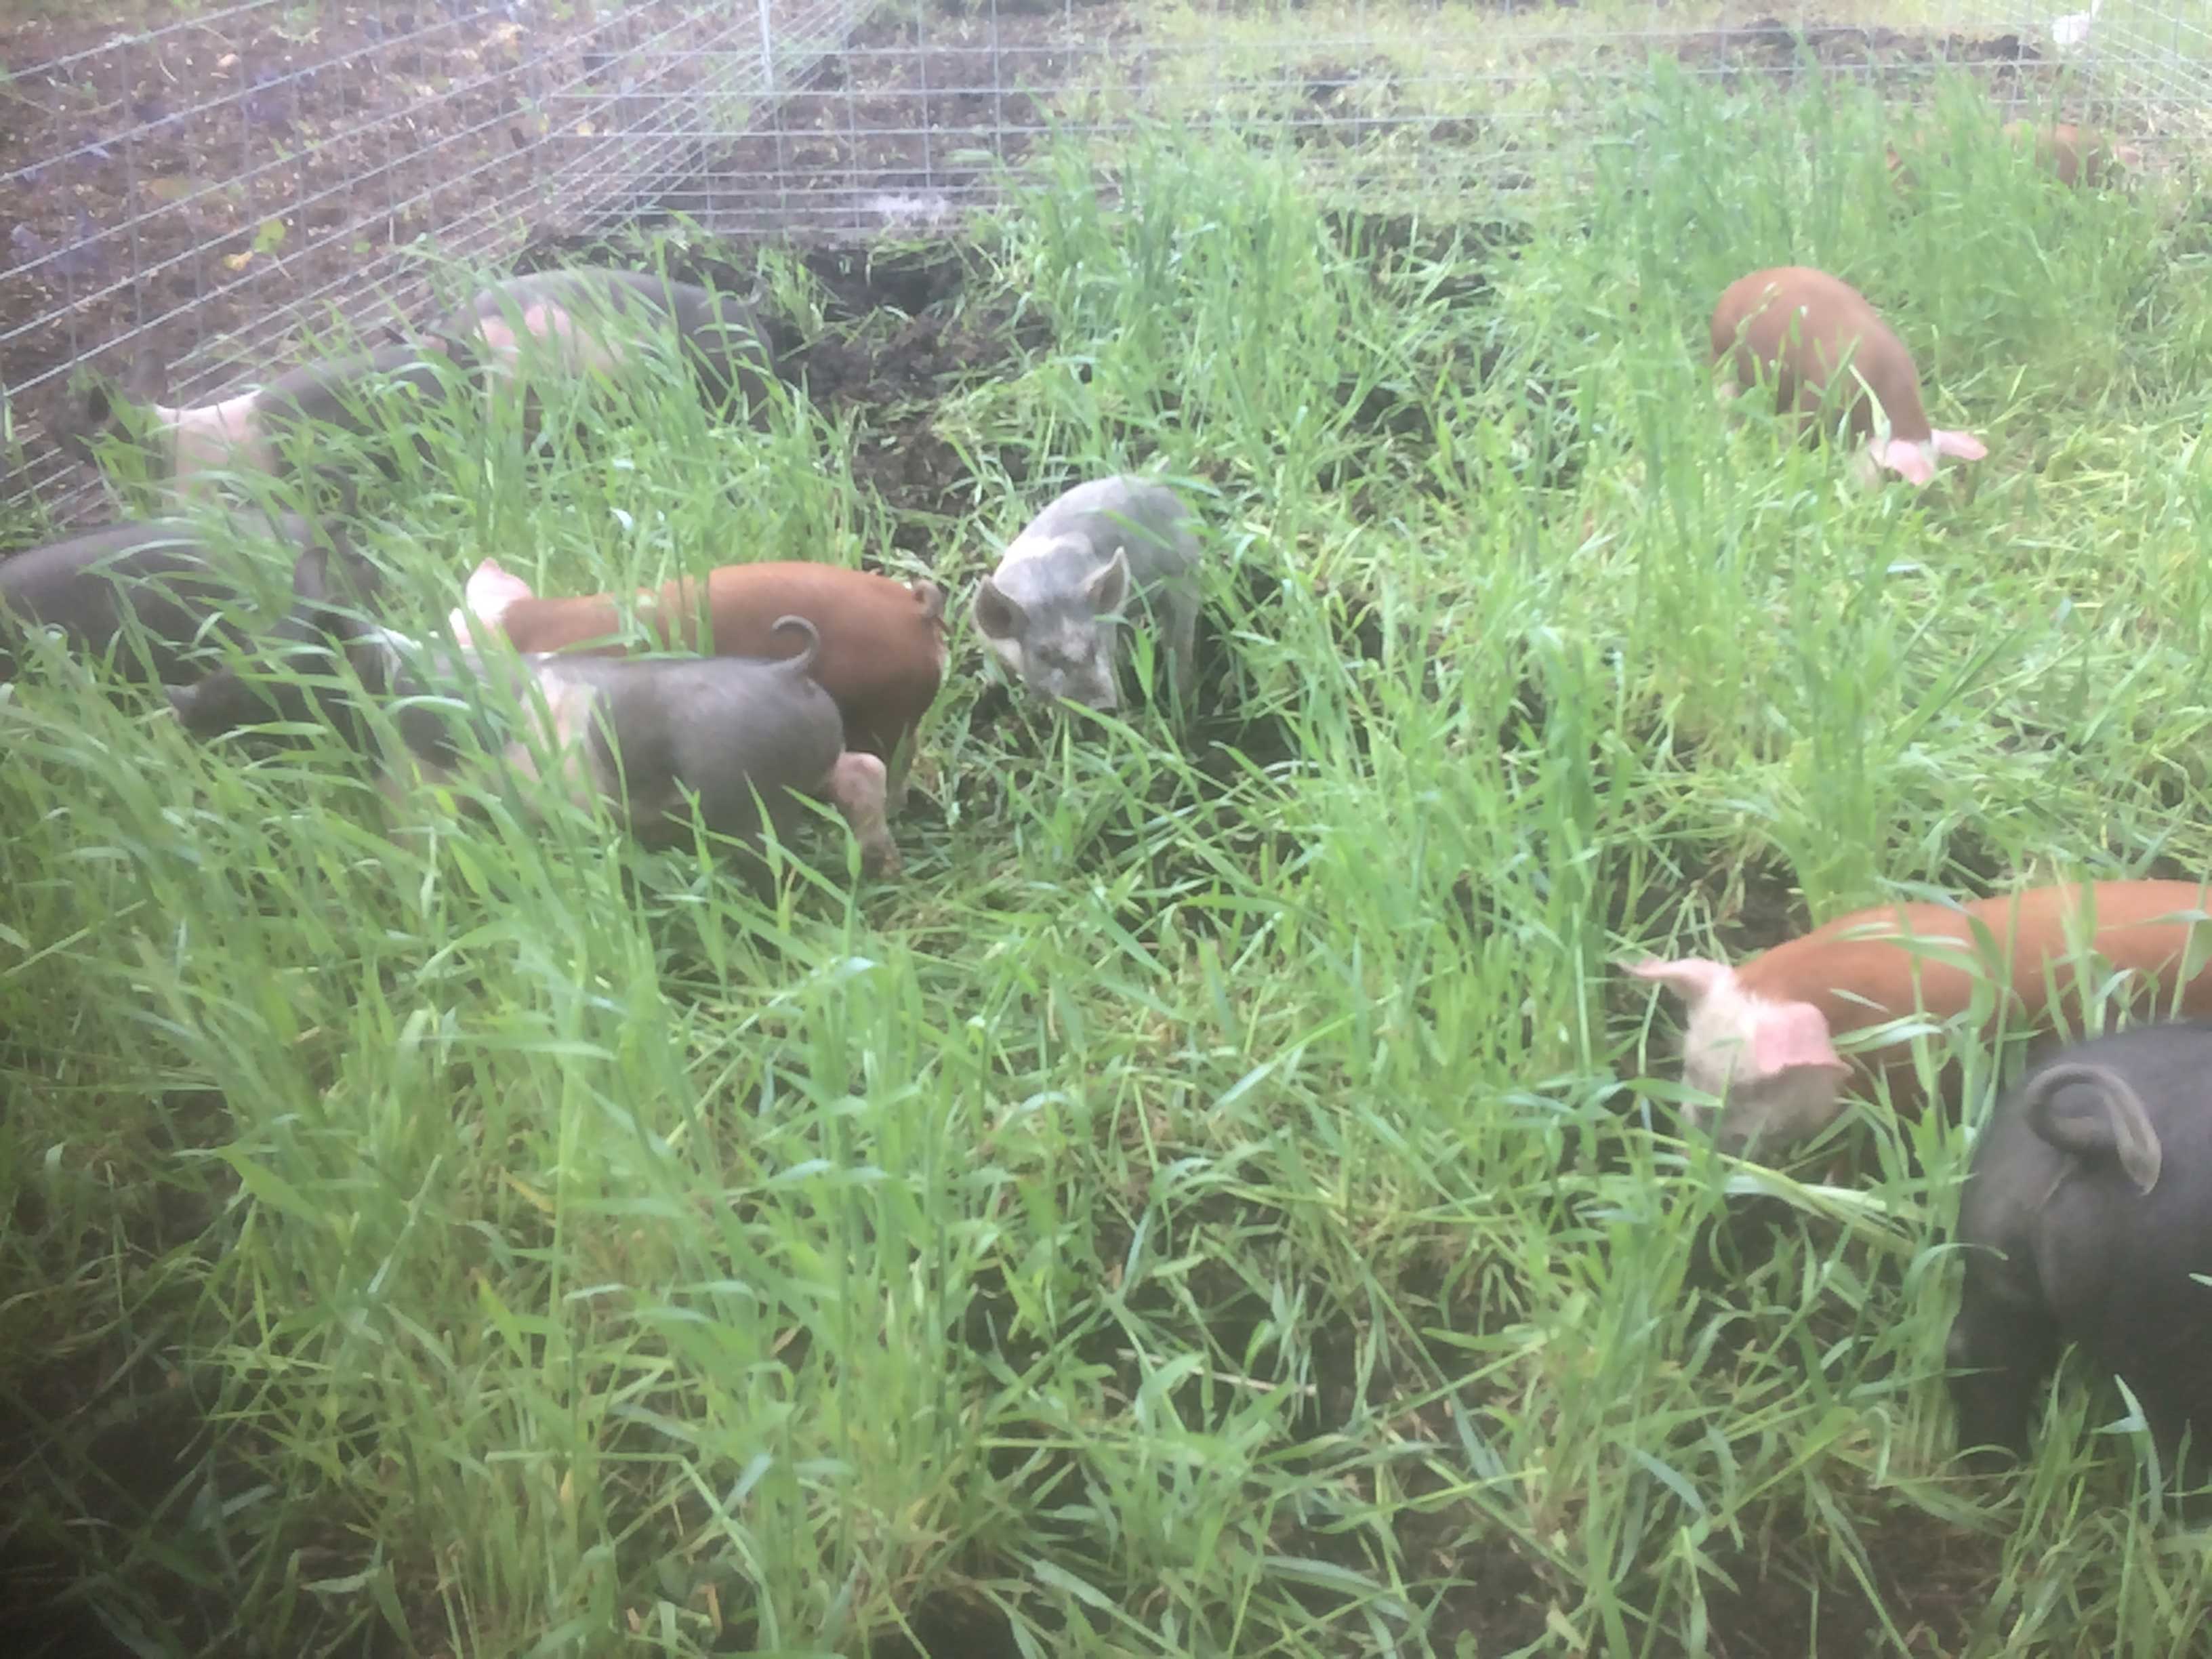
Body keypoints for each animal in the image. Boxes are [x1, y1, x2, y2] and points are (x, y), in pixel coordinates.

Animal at [970, 475, 1202, 713]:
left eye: (1094, 643)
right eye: (1043, 654)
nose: (1102, 707)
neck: (1047, 591)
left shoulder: (1107, 633)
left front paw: (1124, 709)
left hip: (1185, 571)